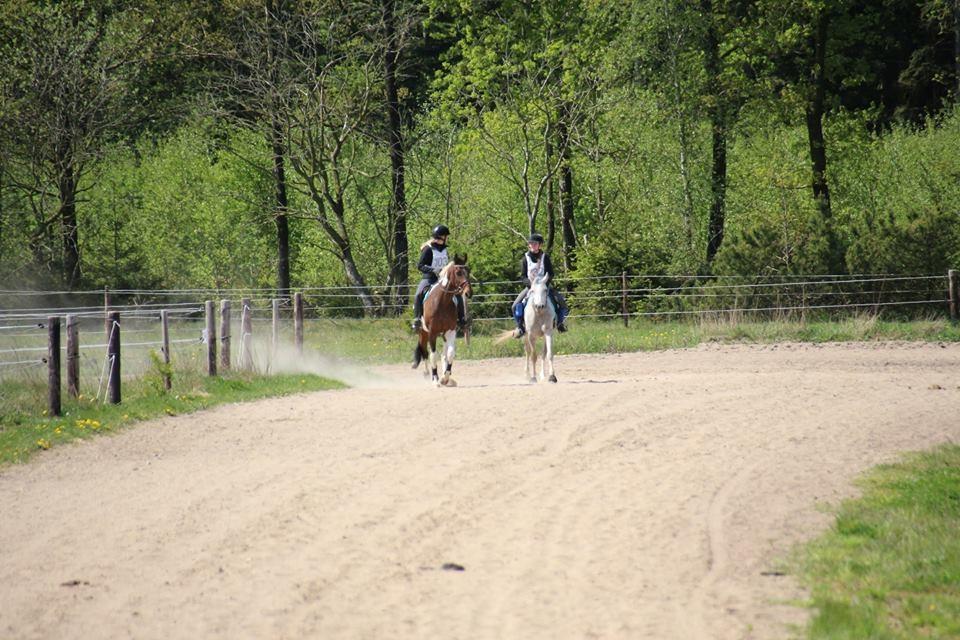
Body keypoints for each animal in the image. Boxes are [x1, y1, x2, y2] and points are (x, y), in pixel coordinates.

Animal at [412, 254, 472, 384]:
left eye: (469, 271)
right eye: (458, 272)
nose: (469, 293)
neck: (443, 301)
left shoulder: (451, 331)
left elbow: (450, 353)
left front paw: (445, 377)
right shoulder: (432, 332)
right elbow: (433, 355)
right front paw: (435, 379)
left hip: (443, 334)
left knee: (444, 354)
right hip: (423, 332)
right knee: (424, 351)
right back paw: (427, 373)